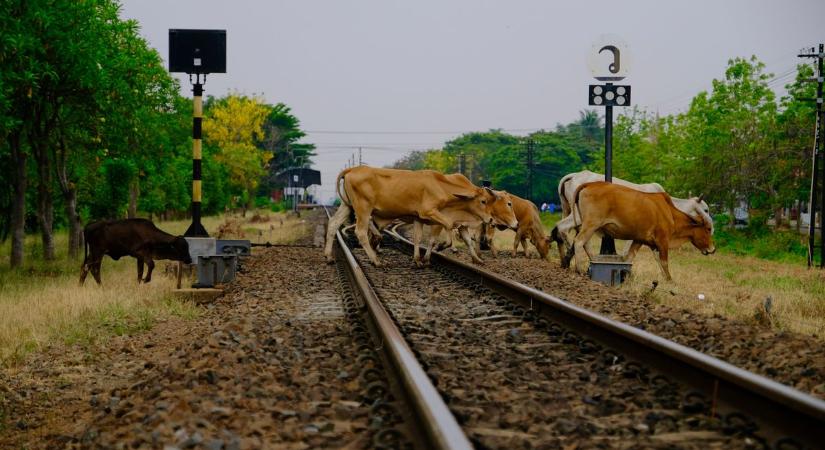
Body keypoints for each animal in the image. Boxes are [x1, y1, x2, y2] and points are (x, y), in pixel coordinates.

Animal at [572, 181, 716, 280]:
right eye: (708, 229)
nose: (713, 249)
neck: (670, 213)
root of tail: (589, 184)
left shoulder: (640, 240)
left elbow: (630, 258)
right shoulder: (663, 241)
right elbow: (664, 261)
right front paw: (669, 279)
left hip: (588, 225)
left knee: (585, 244)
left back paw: (593, 261)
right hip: (591, 224)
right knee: (579, 241)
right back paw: (579, 270)